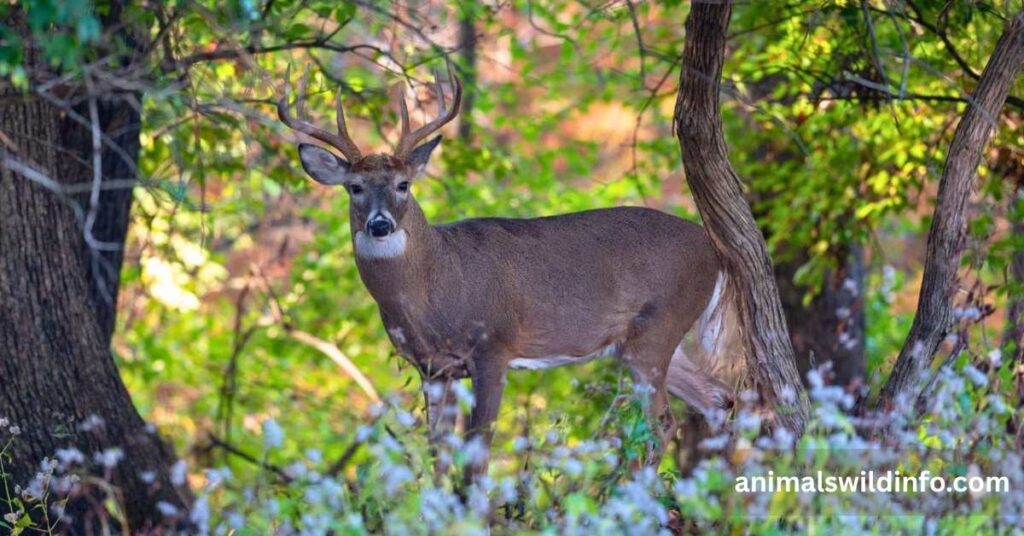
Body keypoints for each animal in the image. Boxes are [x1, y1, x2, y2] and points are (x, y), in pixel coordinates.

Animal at [277, 66, 746, 480]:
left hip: (657, 328)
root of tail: (716, 250)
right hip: (651, 339)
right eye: (354, 187)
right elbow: (437, 455)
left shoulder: (494, 346)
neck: (434, 286)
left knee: (663, 422)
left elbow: (477, 454)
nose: (379, 225)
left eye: (403, 184)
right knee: (718, 399)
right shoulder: (433, 368)